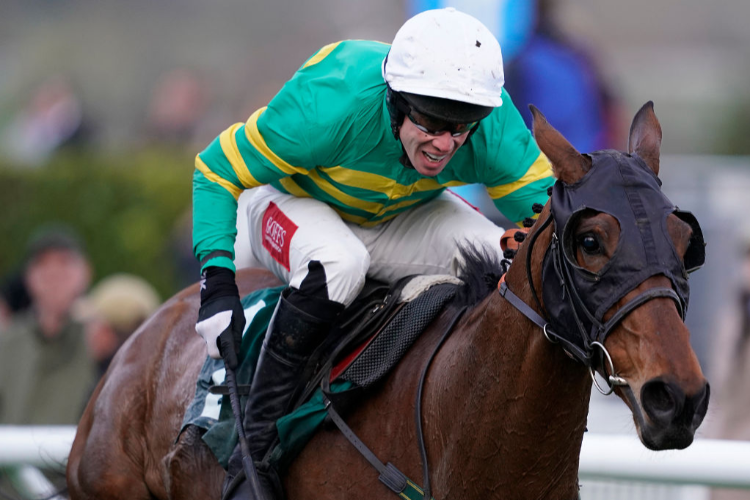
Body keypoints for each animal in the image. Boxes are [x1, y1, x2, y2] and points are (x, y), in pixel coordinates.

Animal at [66, 102, 712, 500]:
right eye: (590, 241)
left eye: (686, 244)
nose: (678, 397)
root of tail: (144, 335)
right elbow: (223, 160)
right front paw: (221, 309)